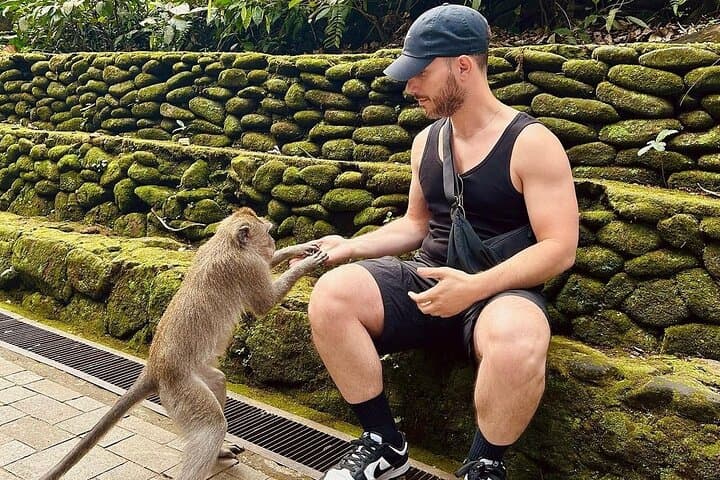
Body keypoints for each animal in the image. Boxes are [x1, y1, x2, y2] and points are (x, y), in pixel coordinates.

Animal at [40, 207, 328, 480]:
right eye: (267, 232)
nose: (272, 241)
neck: (226, 242)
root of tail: (154, 368)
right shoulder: (246, 267)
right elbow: (265, 303)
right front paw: (306, 264)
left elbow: (269, 263)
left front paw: (303, 248)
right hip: (180, 390)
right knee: (212, 426)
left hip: (195, 375)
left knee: (218, 382)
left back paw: (220, 450)